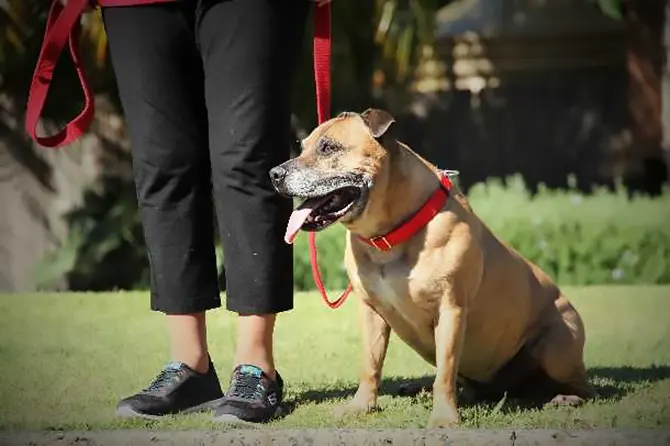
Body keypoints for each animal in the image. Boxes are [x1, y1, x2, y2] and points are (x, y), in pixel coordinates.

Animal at [268, 109, 600, 428]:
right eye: (303, 146)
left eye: (328, 147)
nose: (274, 173)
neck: (390, 235)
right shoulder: (372, 311)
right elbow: (370, 365)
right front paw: (361, 407)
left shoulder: (450, 310)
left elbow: (446, 371)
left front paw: (444, 417)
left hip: (557, 345)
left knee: (585, 387)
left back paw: (567, 397)